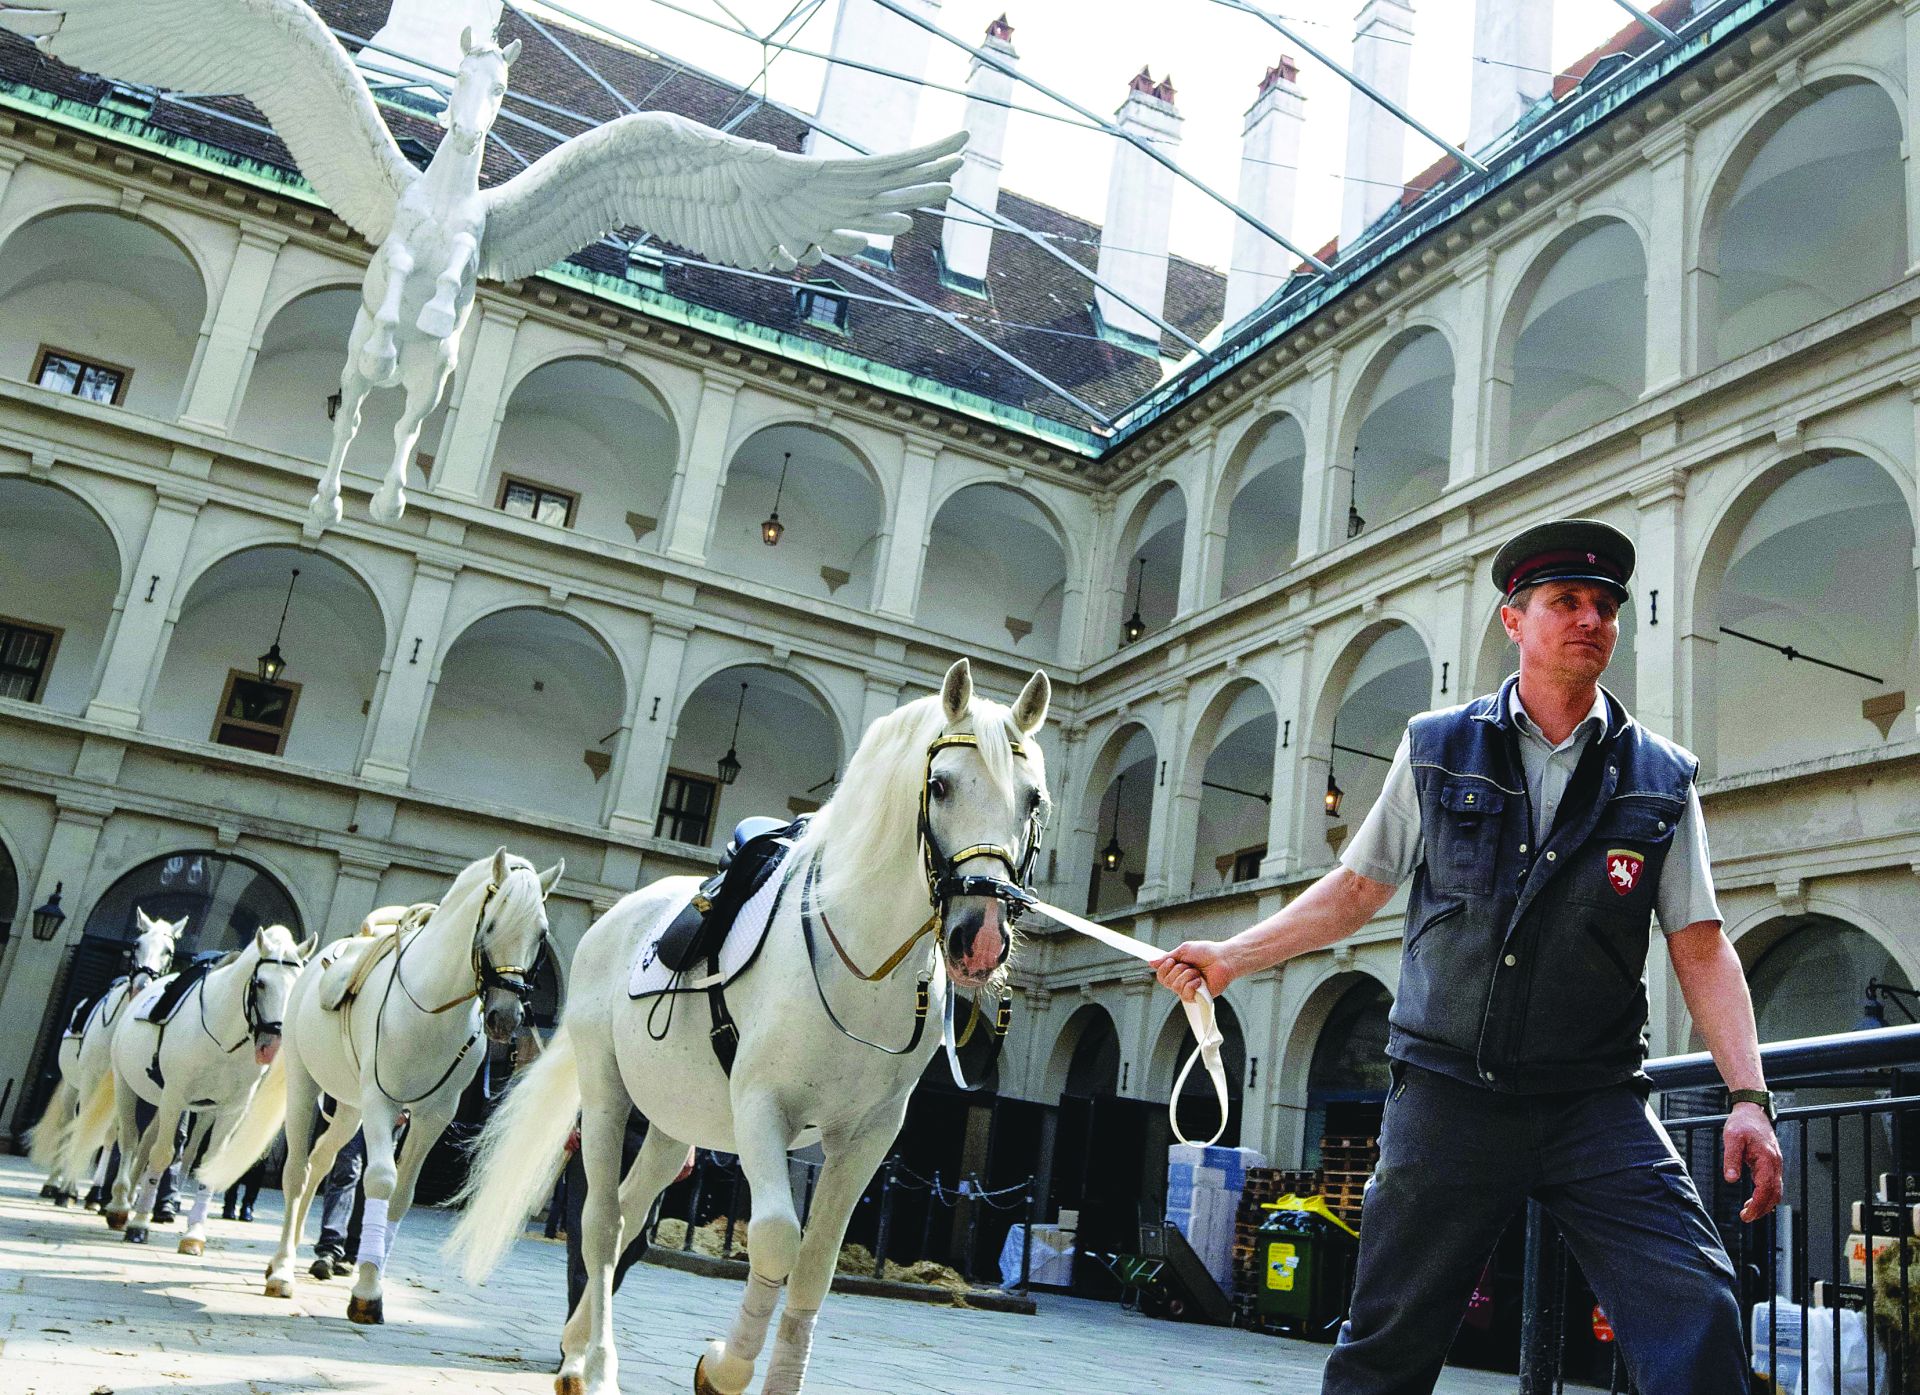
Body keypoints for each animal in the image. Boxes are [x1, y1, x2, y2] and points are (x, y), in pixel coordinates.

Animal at [27, 909, 183, 1205]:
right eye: (136, 944)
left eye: (168, 951)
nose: (142, 985)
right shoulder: (93, 1082)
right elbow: (83, 1129)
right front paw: (68, 1188)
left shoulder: (126, 1091)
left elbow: (115, 1135)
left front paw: (99, 1192)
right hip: (74, 1087)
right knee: (69, 1124)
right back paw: (54, 1183)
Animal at [204, 844, 560, 1327]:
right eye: (489, 925)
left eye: (541, 934)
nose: (505, 1016)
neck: (430, 1008)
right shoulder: (380, 1103)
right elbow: (380, 1181)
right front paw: (366, 1292)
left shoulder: (434, 1116)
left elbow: (402, 1197)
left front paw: (371, 1279)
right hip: (306, 1086)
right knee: (297, 1171)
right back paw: (281, 1268)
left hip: (349, 1109)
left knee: (320, 1162)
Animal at [449, 660, 1052, 1395]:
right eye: (939, 786)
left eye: (1033, 800)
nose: (982, 936)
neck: (859, 960)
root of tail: (613, 919)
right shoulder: (762, 1107)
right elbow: (773, 1238)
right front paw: (724, 1366)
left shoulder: (868, 1136)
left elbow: (817, 1264)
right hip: (606, 1095)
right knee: (600, 1218)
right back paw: (593, 1364)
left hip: (671, 1123)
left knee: (630, 1213)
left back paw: (576, 1347)